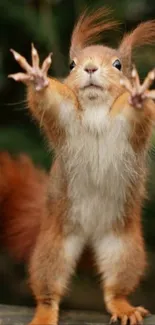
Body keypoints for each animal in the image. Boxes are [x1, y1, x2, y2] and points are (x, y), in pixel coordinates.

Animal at [8, 6, 155, 324]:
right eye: (72, 64)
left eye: (118, 64)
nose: (89, 68)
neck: (96, 109)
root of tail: (90, 234)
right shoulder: (65, 118)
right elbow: (48, 102)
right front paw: (37, 79)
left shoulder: (130, 131)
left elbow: (139, 116)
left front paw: (138, 96)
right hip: (55, 243)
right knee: (48, 285)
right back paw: (44, 313)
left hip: (123, 247)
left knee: (116, 286)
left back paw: (123, 307)